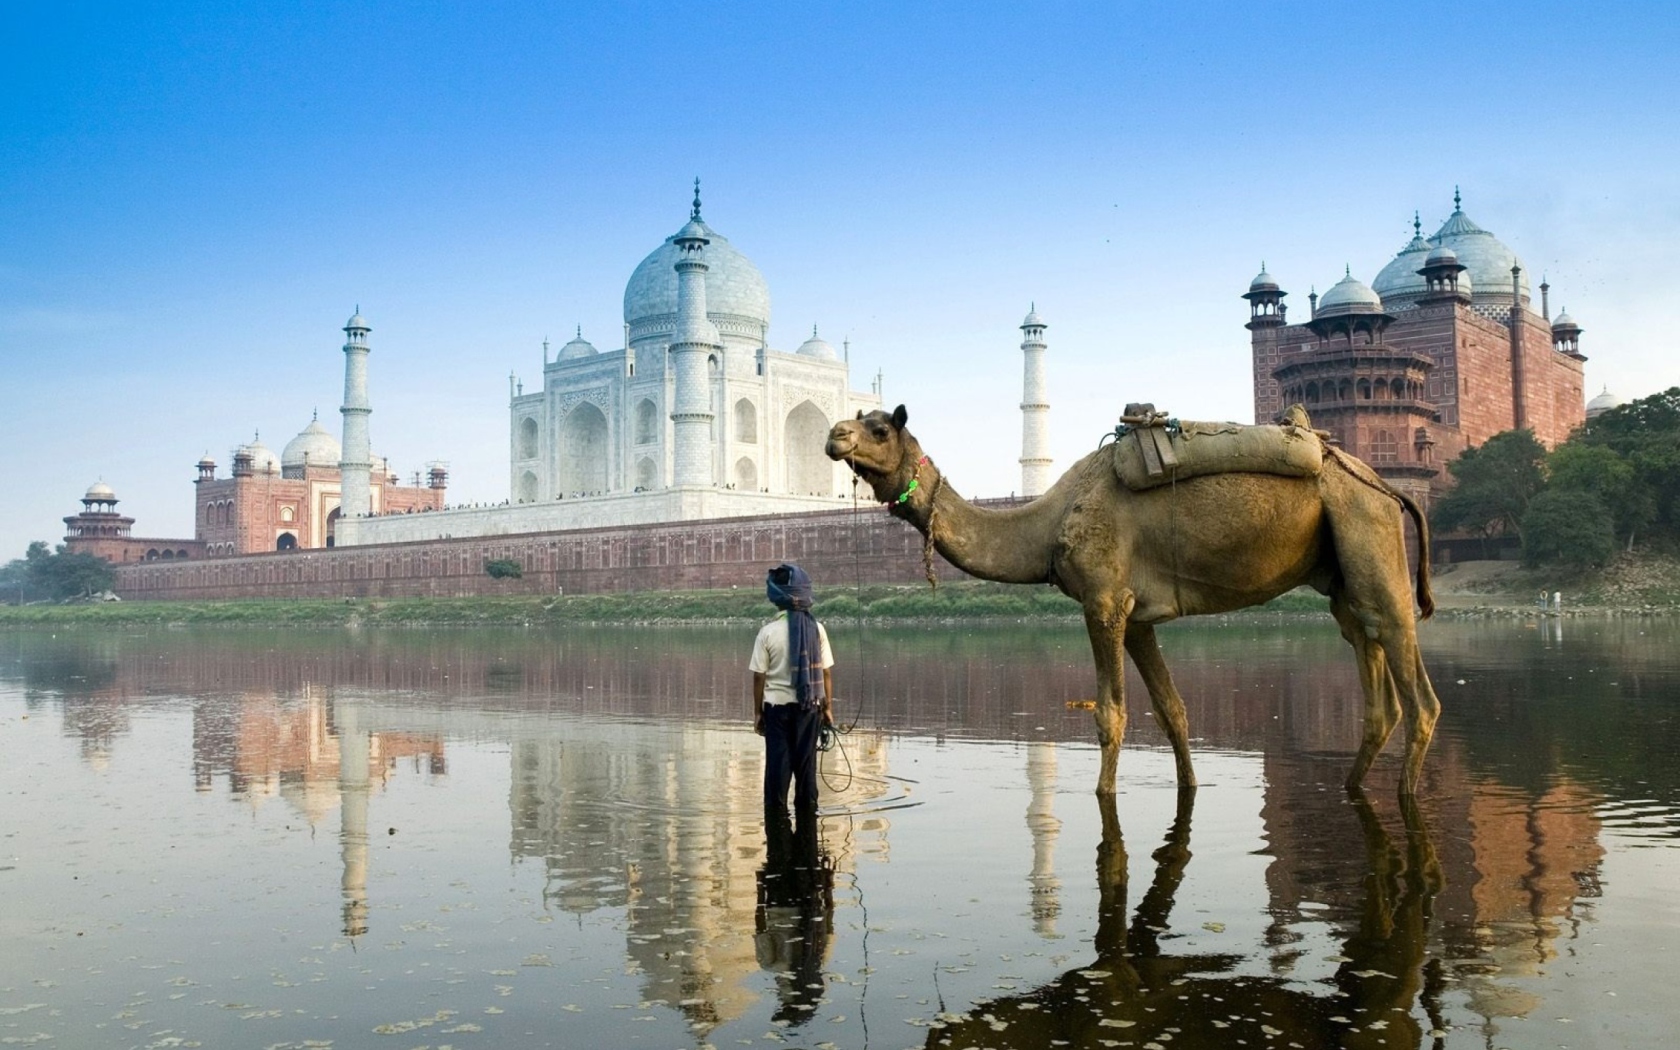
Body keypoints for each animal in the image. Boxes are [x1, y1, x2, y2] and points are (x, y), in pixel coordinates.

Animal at [826, 403, 1444, 792]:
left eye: (879, 429)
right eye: (857, 422)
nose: (834, 435)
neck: (1048, 524)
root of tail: (1386, 486)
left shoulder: (1102, 600)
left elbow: (1111, 715)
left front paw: (1105, 795)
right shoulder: (1138, 615)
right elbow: (1172, 711)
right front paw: (1190, 785)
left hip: (1369, 534)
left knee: (1418, 690)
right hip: (1341, 574)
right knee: (1373, 677)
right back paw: (1352, 787)